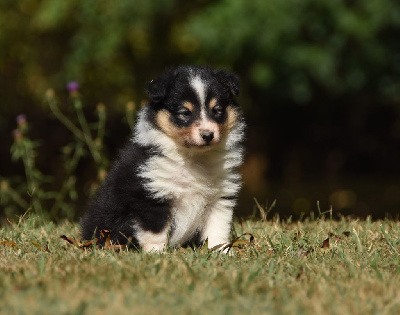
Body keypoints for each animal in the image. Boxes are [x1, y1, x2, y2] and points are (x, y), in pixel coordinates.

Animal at [80, 65, 245, 253]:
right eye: (185, 112)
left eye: (217, 110)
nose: (208, 135)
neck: (194, 158)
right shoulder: (153, 195)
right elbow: (156, 231)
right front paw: (156, 254)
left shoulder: (219, 197)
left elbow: (217, 229)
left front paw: (221, 252)